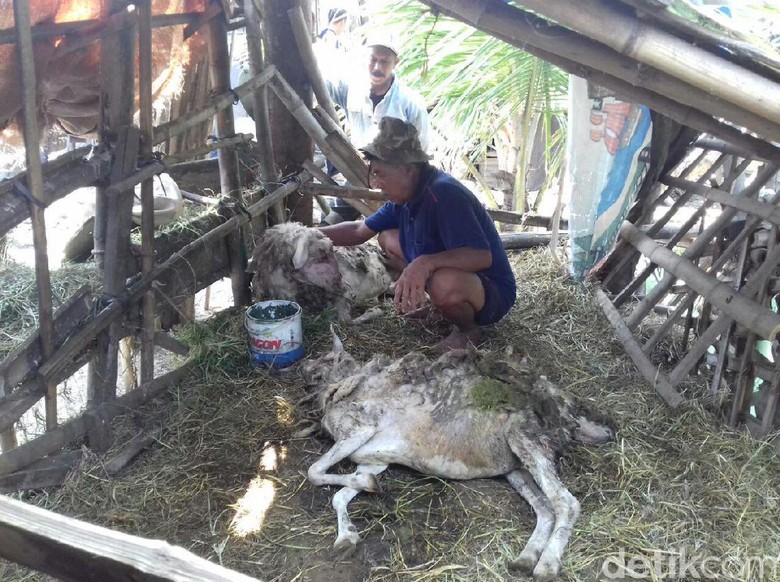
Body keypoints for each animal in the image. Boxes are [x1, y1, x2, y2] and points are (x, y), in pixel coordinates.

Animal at [247, 224, 394, 324]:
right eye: (322, 254)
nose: (349, 290)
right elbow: (345, 321)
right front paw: (375, 310)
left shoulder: (342, 298)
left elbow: (346, 320)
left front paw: (375, 310)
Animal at [302, 336, 612, 580]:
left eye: (322, 363)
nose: (304, 371)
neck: (347, 385)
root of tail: (569, 416)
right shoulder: (375, 460)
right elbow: (340, 494)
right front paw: (347, 536)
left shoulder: (359, 428)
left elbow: (314, 472)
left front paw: (364, 490)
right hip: (517, 465)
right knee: (545, 507)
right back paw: (524, 560)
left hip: (526, 439)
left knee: (566, 503)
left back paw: (546, 565)